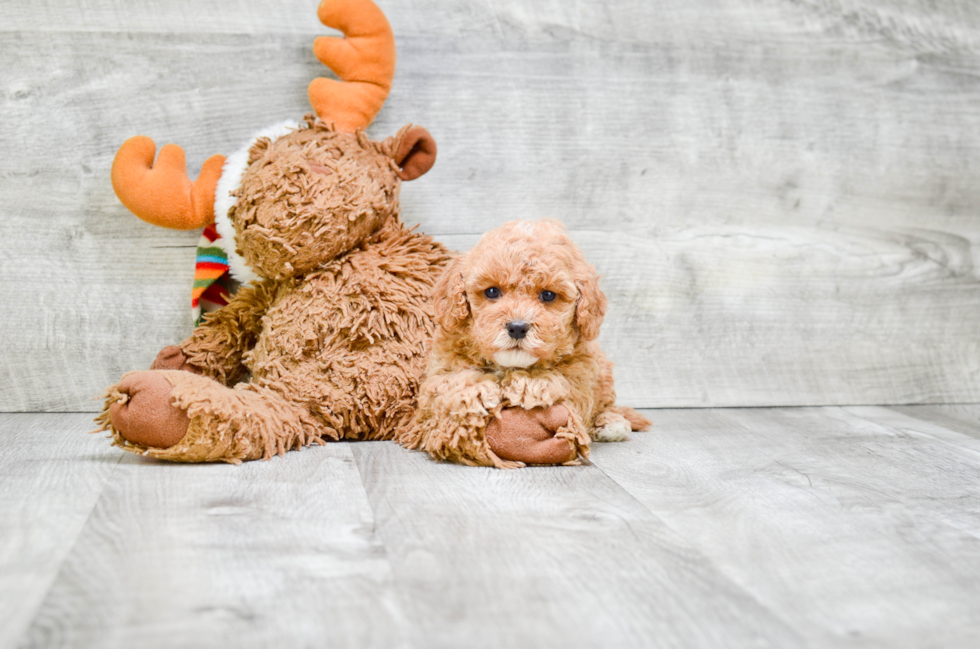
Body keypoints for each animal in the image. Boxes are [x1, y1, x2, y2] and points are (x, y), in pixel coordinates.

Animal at [398, 218, 652, 466]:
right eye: (492, 291)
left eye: (548, 295)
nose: (517, 327)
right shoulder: (438, 373)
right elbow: (452, 383)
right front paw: (479, 393)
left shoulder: (582, 372)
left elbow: (559, 380)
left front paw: (527, 385)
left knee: (605, 404)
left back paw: (611, 422)